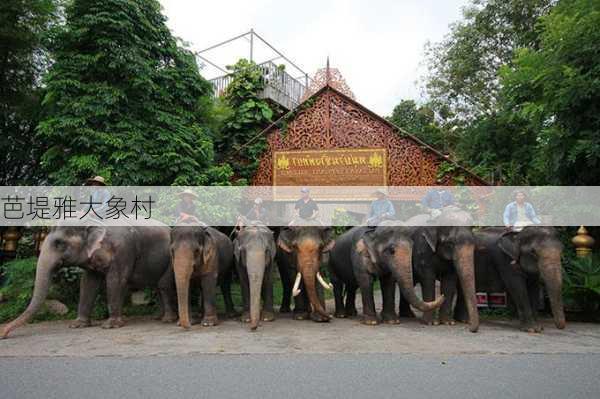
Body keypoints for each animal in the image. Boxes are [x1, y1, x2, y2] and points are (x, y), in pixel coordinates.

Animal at [1, 220, 176, 340]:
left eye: (59, 243)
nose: (3, 333)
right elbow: (88, 283)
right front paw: (77, 325)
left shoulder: (123, 250)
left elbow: (116, 280)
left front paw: (110, 326)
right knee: (157, 287)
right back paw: (158, 317)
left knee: (163, 286)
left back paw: (166, 320)